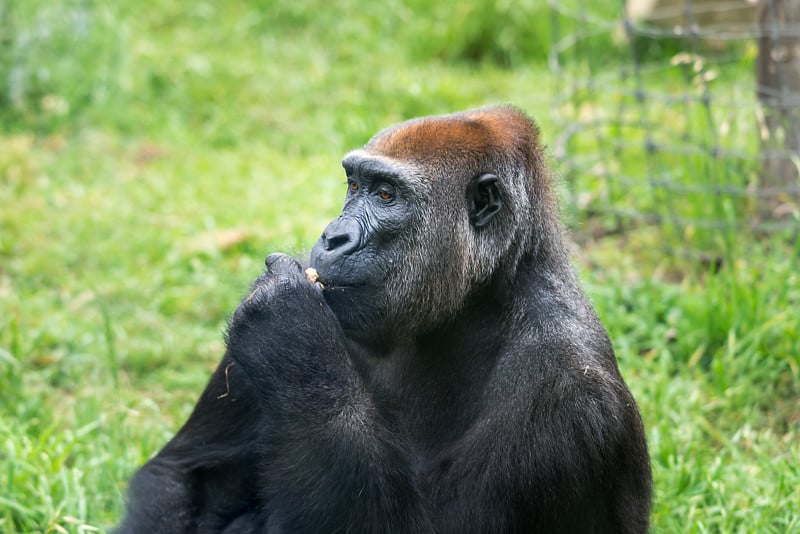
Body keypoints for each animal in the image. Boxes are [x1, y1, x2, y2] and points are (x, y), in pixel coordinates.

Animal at [117, 105, 648, 534]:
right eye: (354, 186)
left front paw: (292, 340)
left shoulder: (568, 393)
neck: (475, 303)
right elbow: (183, 475)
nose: (333, 237)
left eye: (388, 195)